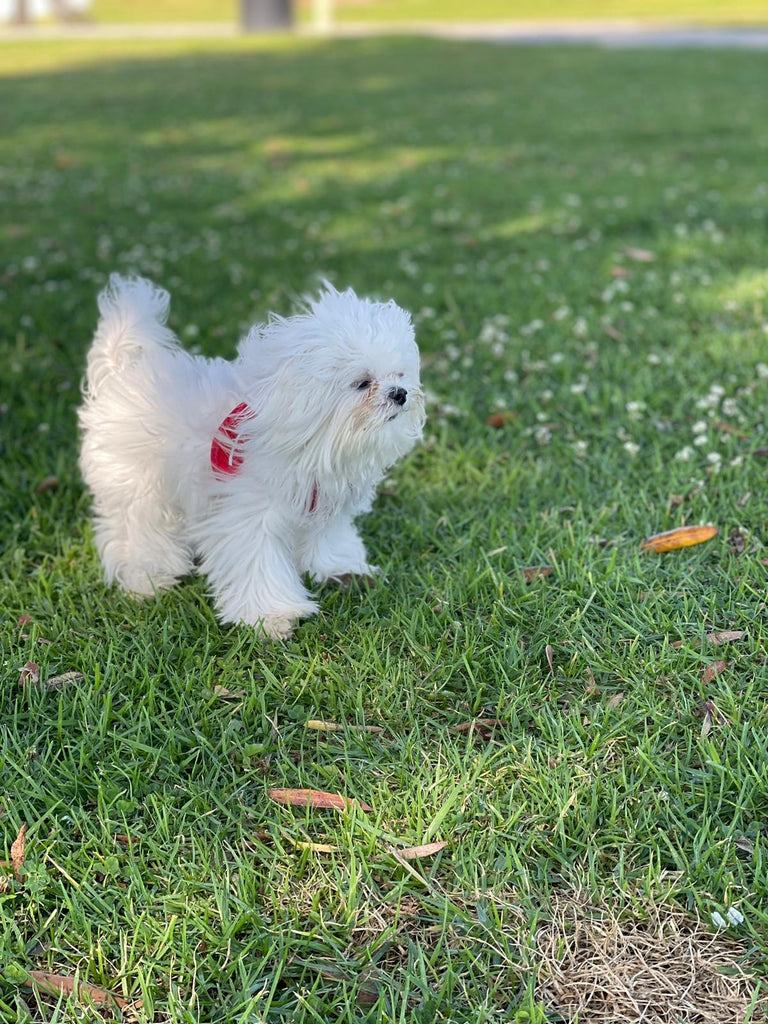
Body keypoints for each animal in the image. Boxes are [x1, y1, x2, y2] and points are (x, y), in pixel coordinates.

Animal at [79, 276, 428, 634]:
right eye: (362, 383)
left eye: (399, 375)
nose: (399, 394)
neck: (314, 441)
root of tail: (123, 371)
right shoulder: (250, 516)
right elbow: (258, 565)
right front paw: (273, 615)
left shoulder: (324, 503)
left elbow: (327, 540)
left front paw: (340, 570)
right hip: (140, 486)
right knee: (135, 529)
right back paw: (147, 575)